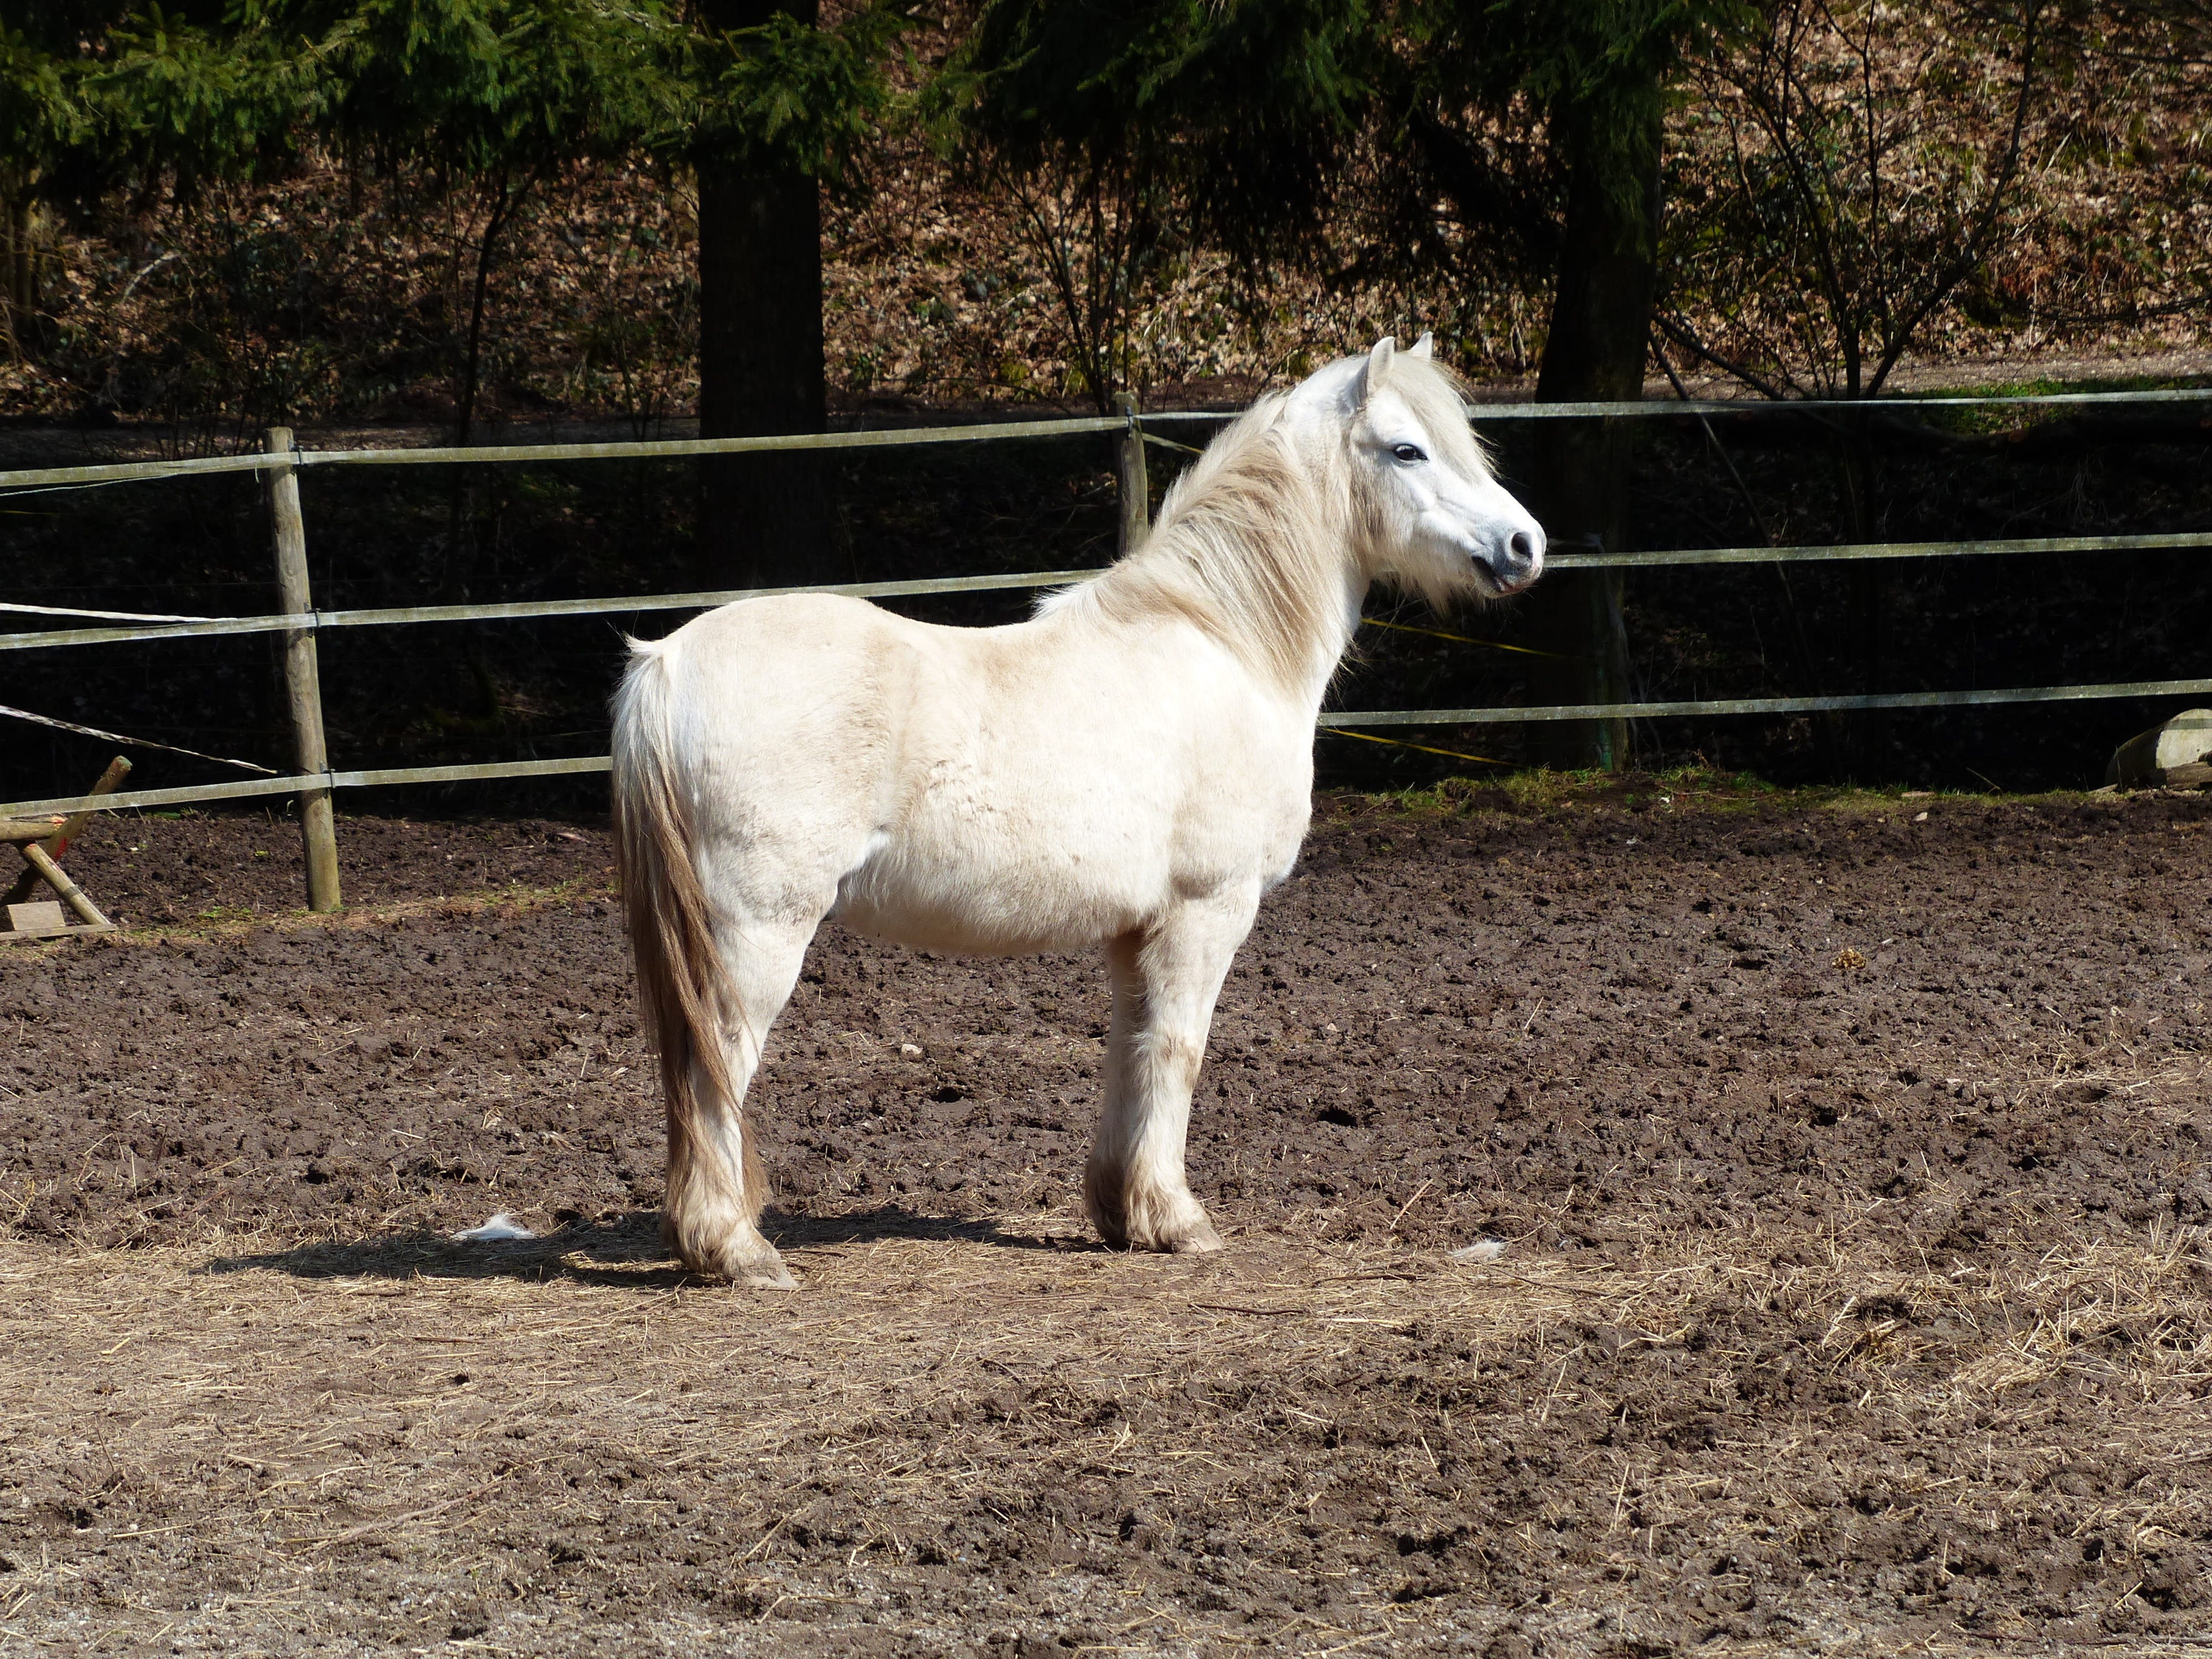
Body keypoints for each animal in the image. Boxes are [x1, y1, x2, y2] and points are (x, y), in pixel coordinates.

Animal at [612, 335, 1546, 1287]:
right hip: (760, 929)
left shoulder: (1138, 931)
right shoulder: (1206, 912)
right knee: (716, 1063)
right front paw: (1179, 1220)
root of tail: (668, 663)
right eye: (1407, 450)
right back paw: (736, 1248)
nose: (1524, 545)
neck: (1225, 644)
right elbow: (1179, 1051)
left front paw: (1124, 1213)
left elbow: (1131, 1053)